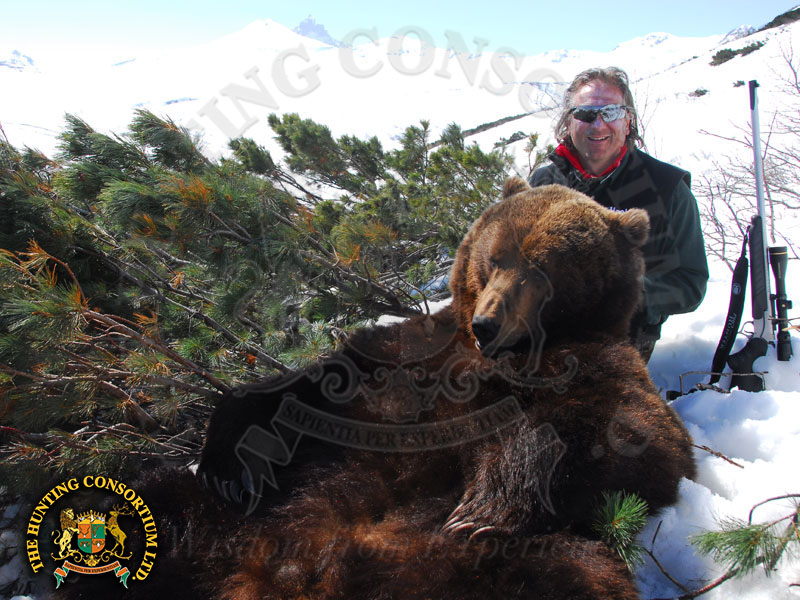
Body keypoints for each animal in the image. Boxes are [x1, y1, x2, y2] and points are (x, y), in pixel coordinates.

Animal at [56, 179, 696, 600]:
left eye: (543, 267)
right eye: (495, 257)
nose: (488, 324)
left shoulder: (600, 365)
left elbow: (633, 438)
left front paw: (484, 506)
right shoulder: (407, 349)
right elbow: (308, 385)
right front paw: (228, 459)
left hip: (502, 567)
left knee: (565, 575)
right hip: (217, 522)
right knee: (138, 500)